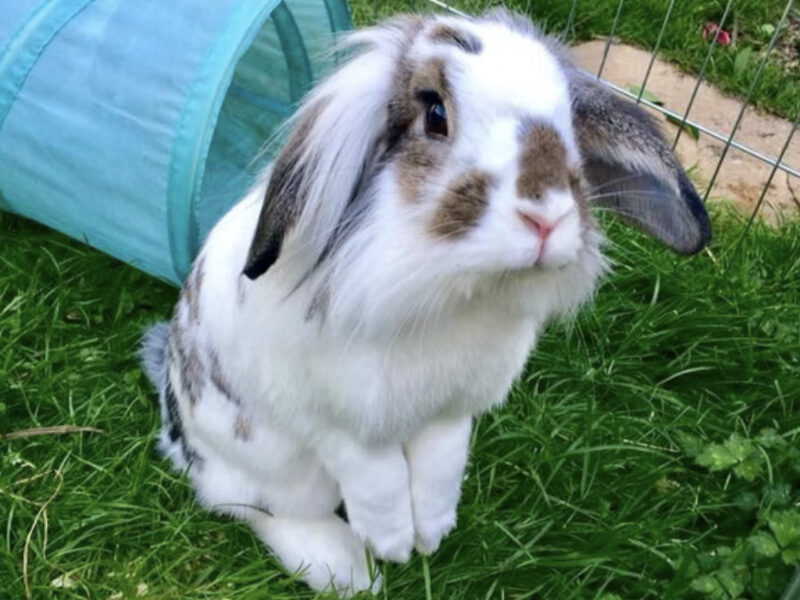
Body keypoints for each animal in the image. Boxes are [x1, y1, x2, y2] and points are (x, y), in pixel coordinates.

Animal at [140, 9, 710, 596]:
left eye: (568, 125)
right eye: (435, 113)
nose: (547, 217)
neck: (455, 289)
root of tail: (174, 427)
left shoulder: (451, 413)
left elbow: (440, 467)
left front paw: (432, 535)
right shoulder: (342, 425)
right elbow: (379, 480)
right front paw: (393, 545)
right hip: (271, 462)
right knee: (258, 506)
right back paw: (348, 570)